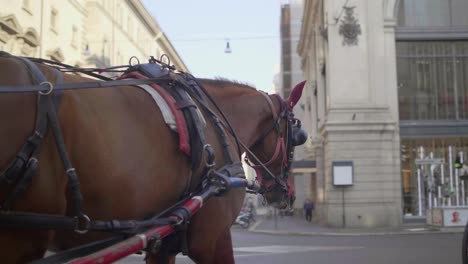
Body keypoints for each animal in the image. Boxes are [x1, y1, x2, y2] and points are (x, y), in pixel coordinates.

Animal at [0, 54, 308, 264]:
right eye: (298, 136)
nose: (288, 195)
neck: (213, 121)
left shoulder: (163, 240)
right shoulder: (212, 239)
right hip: (22, 237)